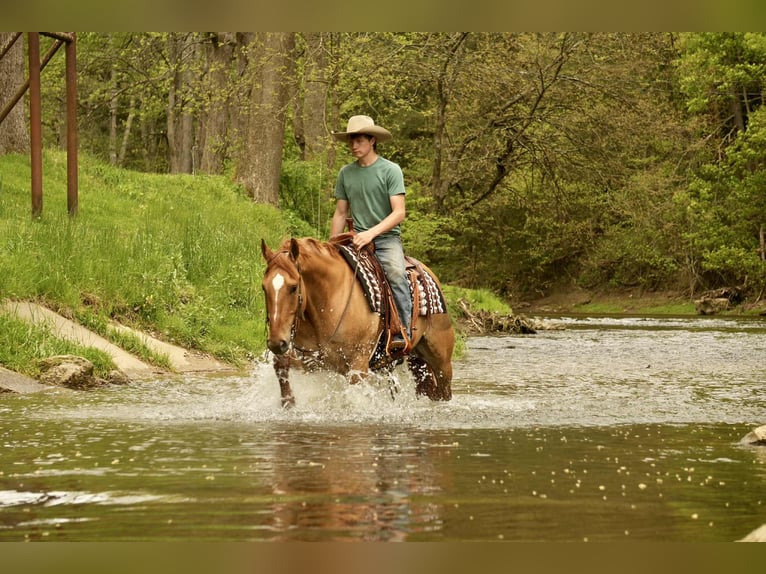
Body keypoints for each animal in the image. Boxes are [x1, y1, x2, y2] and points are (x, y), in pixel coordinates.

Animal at [260, 237, 454, 408]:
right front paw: (288, 403)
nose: (277, 342)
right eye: (264, 287)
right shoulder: (310, 361)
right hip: (416, 358)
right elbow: (281, 365)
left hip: (441, 361)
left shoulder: (358, 365)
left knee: (443, 392)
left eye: (293, 287)